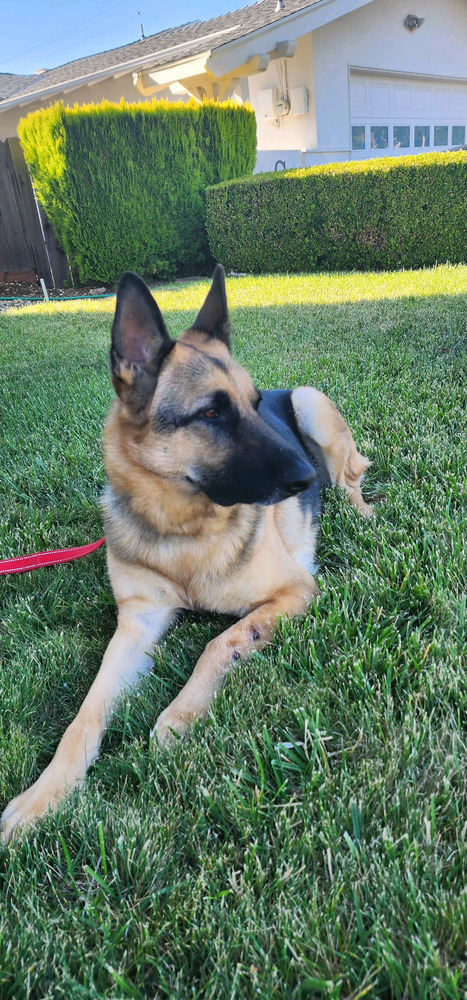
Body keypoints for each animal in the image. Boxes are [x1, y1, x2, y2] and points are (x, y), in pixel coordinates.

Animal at [0, 266, 372, 844]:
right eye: (212, 413)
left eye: (253, 404)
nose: (305, 477)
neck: (184, 531)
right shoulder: (136, 625)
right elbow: (85, 715)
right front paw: (43, 797)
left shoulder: (296, 590)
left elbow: (222, 642)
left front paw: (179, 717)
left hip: (312, 407)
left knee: (353, 479)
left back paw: (361, 512)